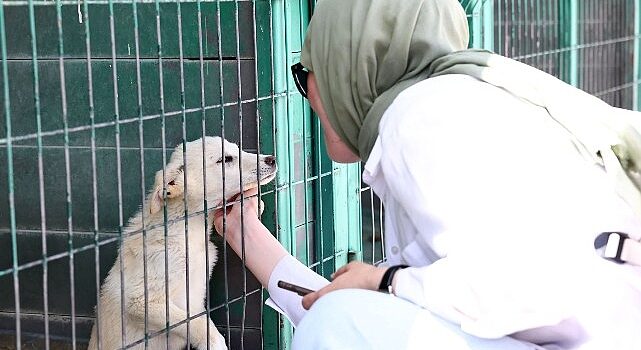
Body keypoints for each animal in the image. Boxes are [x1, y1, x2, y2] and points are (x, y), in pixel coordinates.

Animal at [86, 137, 276, 350]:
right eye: (225, 159)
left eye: (237, 149)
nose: (272, 159)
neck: (187, 232)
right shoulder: (140, 301)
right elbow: (198, 326)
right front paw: (216, 344)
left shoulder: (194, 299)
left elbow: (201, 321)